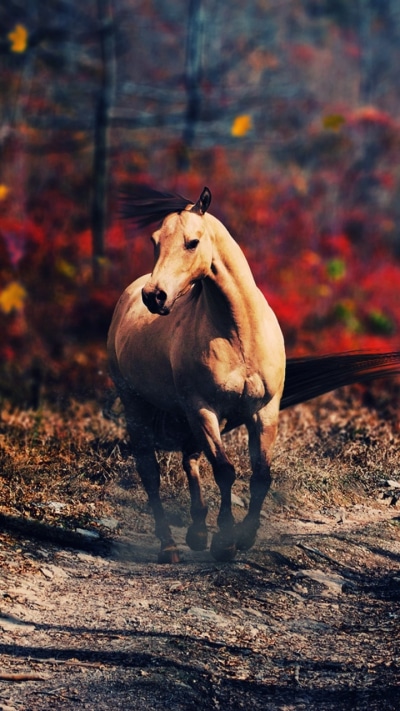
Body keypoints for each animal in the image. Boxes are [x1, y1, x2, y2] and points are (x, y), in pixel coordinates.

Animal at [108, 186, 400, 563]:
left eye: (192, 242)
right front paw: (225, 541)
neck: (239, 332)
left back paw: (196, 533)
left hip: (184, 412)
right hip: (138, 404)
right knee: (151, 471)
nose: (154, 296)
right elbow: (225, 470)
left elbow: (260, 474)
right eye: (155, 241)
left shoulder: (263, 410)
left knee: (189, 458)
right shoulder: (204, 409)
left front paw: (244, 536)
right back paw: (169, 546)